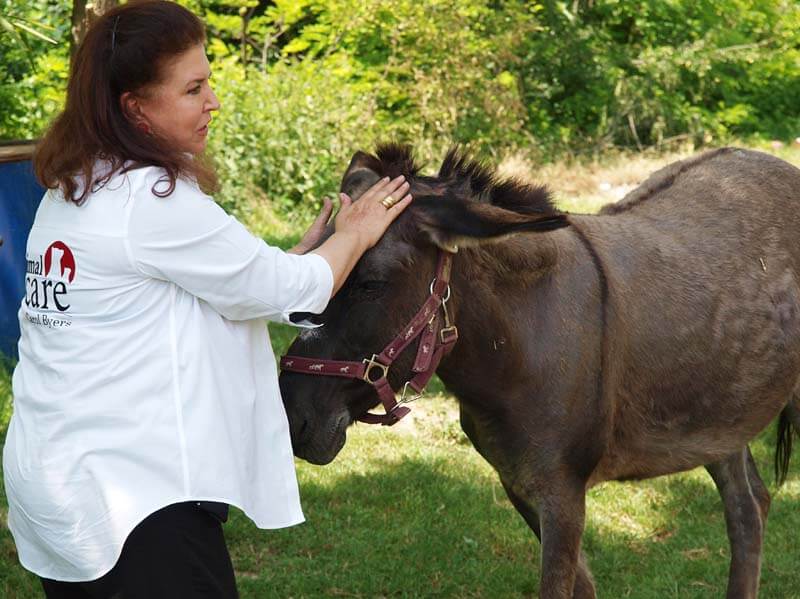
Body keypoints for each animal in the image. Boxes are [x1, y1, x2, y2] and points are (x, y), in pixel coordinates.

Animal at [279, 144, 800, 598]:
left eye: (370, 285)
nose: (290, 418)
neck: (516, 344)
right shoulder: (519, 484)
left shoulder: (563, 495)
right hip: (718, 414)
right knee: (748, 506)